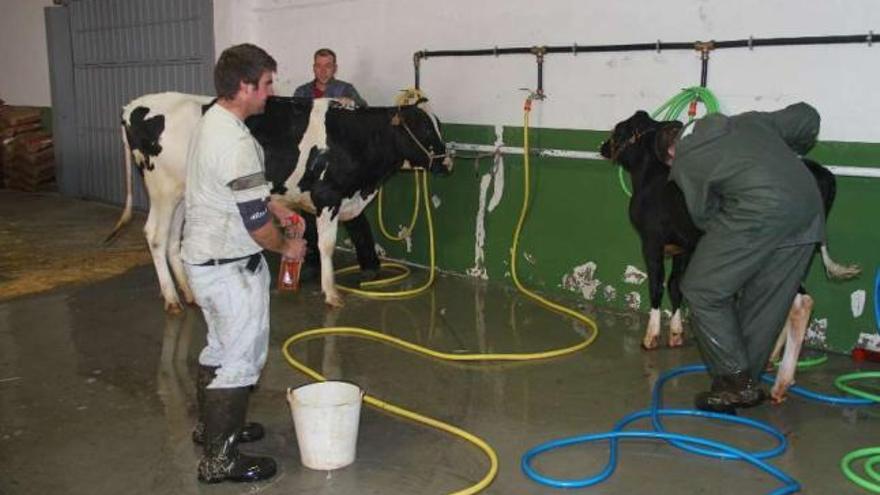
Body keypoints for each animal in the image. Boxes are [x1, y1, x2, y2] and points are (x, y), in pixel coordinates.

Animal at [108, 93, 454, 314]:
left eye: (439, 124)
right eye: (423, 127)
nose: (448, 162)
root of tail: (134, 106)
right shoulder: (328, 196)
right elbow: (326, 245)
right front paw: (331, 293)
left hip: (182, 194)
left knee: (171, 241)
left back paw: (189, 294)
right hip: (163, 190)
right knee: (155, 236)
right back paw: (172, 299)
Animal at [600, 109, 860, 404]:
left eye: (618, 129)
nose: (602, 146)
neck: (649, 176)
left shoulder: (651, 242)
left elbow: (657, 286)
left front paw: (650, 337)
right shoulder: (683, 248)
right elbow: (676, 287)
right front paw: (676, 334)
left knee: (800, 302)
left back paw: (780, 382)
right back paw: (773, 362)